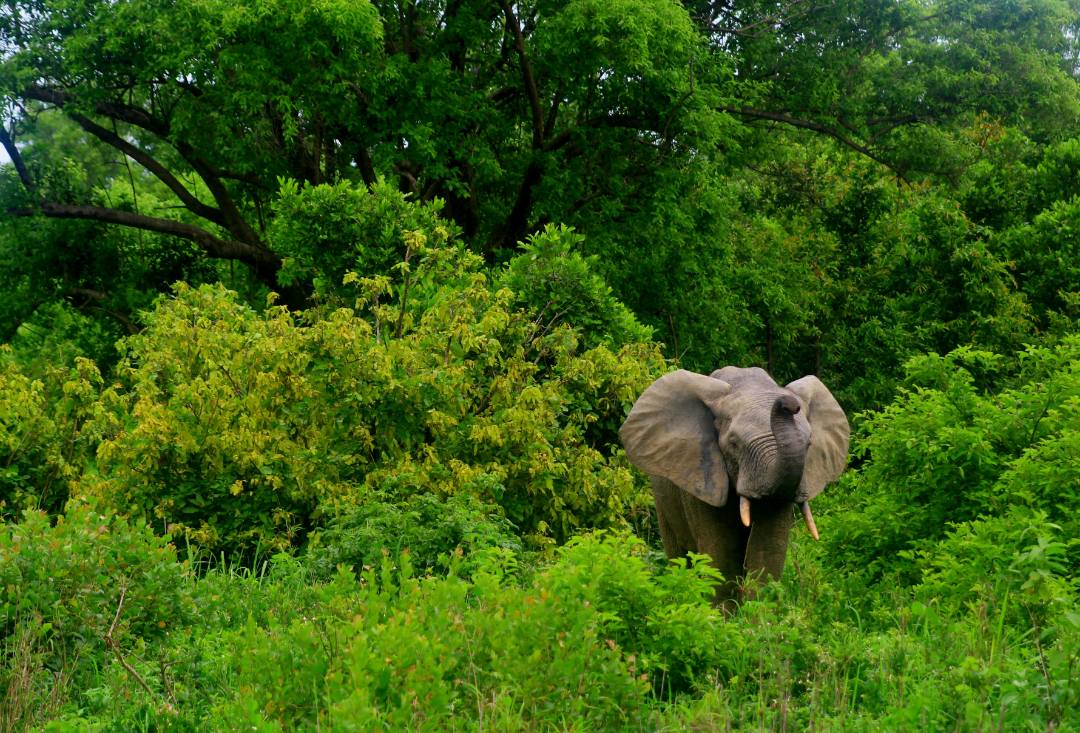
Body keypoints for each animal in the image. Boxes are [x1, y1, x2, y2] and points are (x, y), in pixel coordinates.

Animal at [622, 367, 846, 608]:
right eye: (734, 444)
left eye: (809, 444)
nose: (789, 404)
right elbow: (721, 553)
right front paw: (720, 616)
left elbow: (767, 551)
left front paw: (759, 617)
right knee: (679, 555)